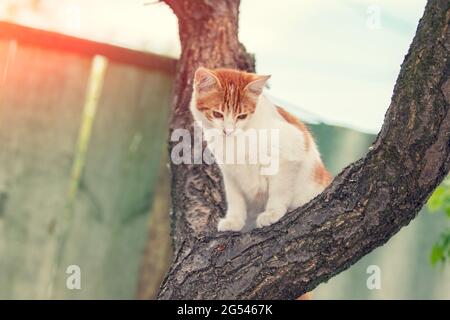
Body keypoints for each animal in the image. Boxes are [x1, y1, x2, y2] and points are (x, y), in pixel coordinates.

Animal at [190, 68, 330, 232]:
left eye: (242, 116)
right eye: (217, 114)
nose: (228, 131)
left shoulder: (291, 149)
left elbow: (279, 188)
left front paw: (272, 213)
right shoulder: (229, 171)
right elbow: (235, 197)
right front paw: (234, 220)